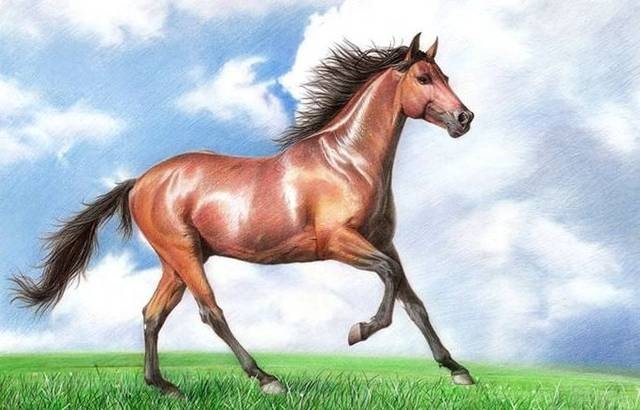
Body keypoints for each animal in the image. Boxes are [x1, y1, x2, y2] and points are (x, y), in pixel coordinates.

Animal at [12, 33, 475, 397]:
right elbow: (389, 279)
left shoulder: (384, 243)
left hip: (175, 262)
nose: (464, 118)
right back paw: (266, 378)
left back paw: (163, 386)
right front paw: (358, 331)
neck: (347, 161)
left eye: (446, 77)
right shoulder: (339, 243)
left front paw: (457, 370)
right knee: (210, 312)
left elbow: (414, 303)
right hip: (184, 255)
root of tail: (141, 181)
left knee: (153, 314)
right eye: (423, 78)